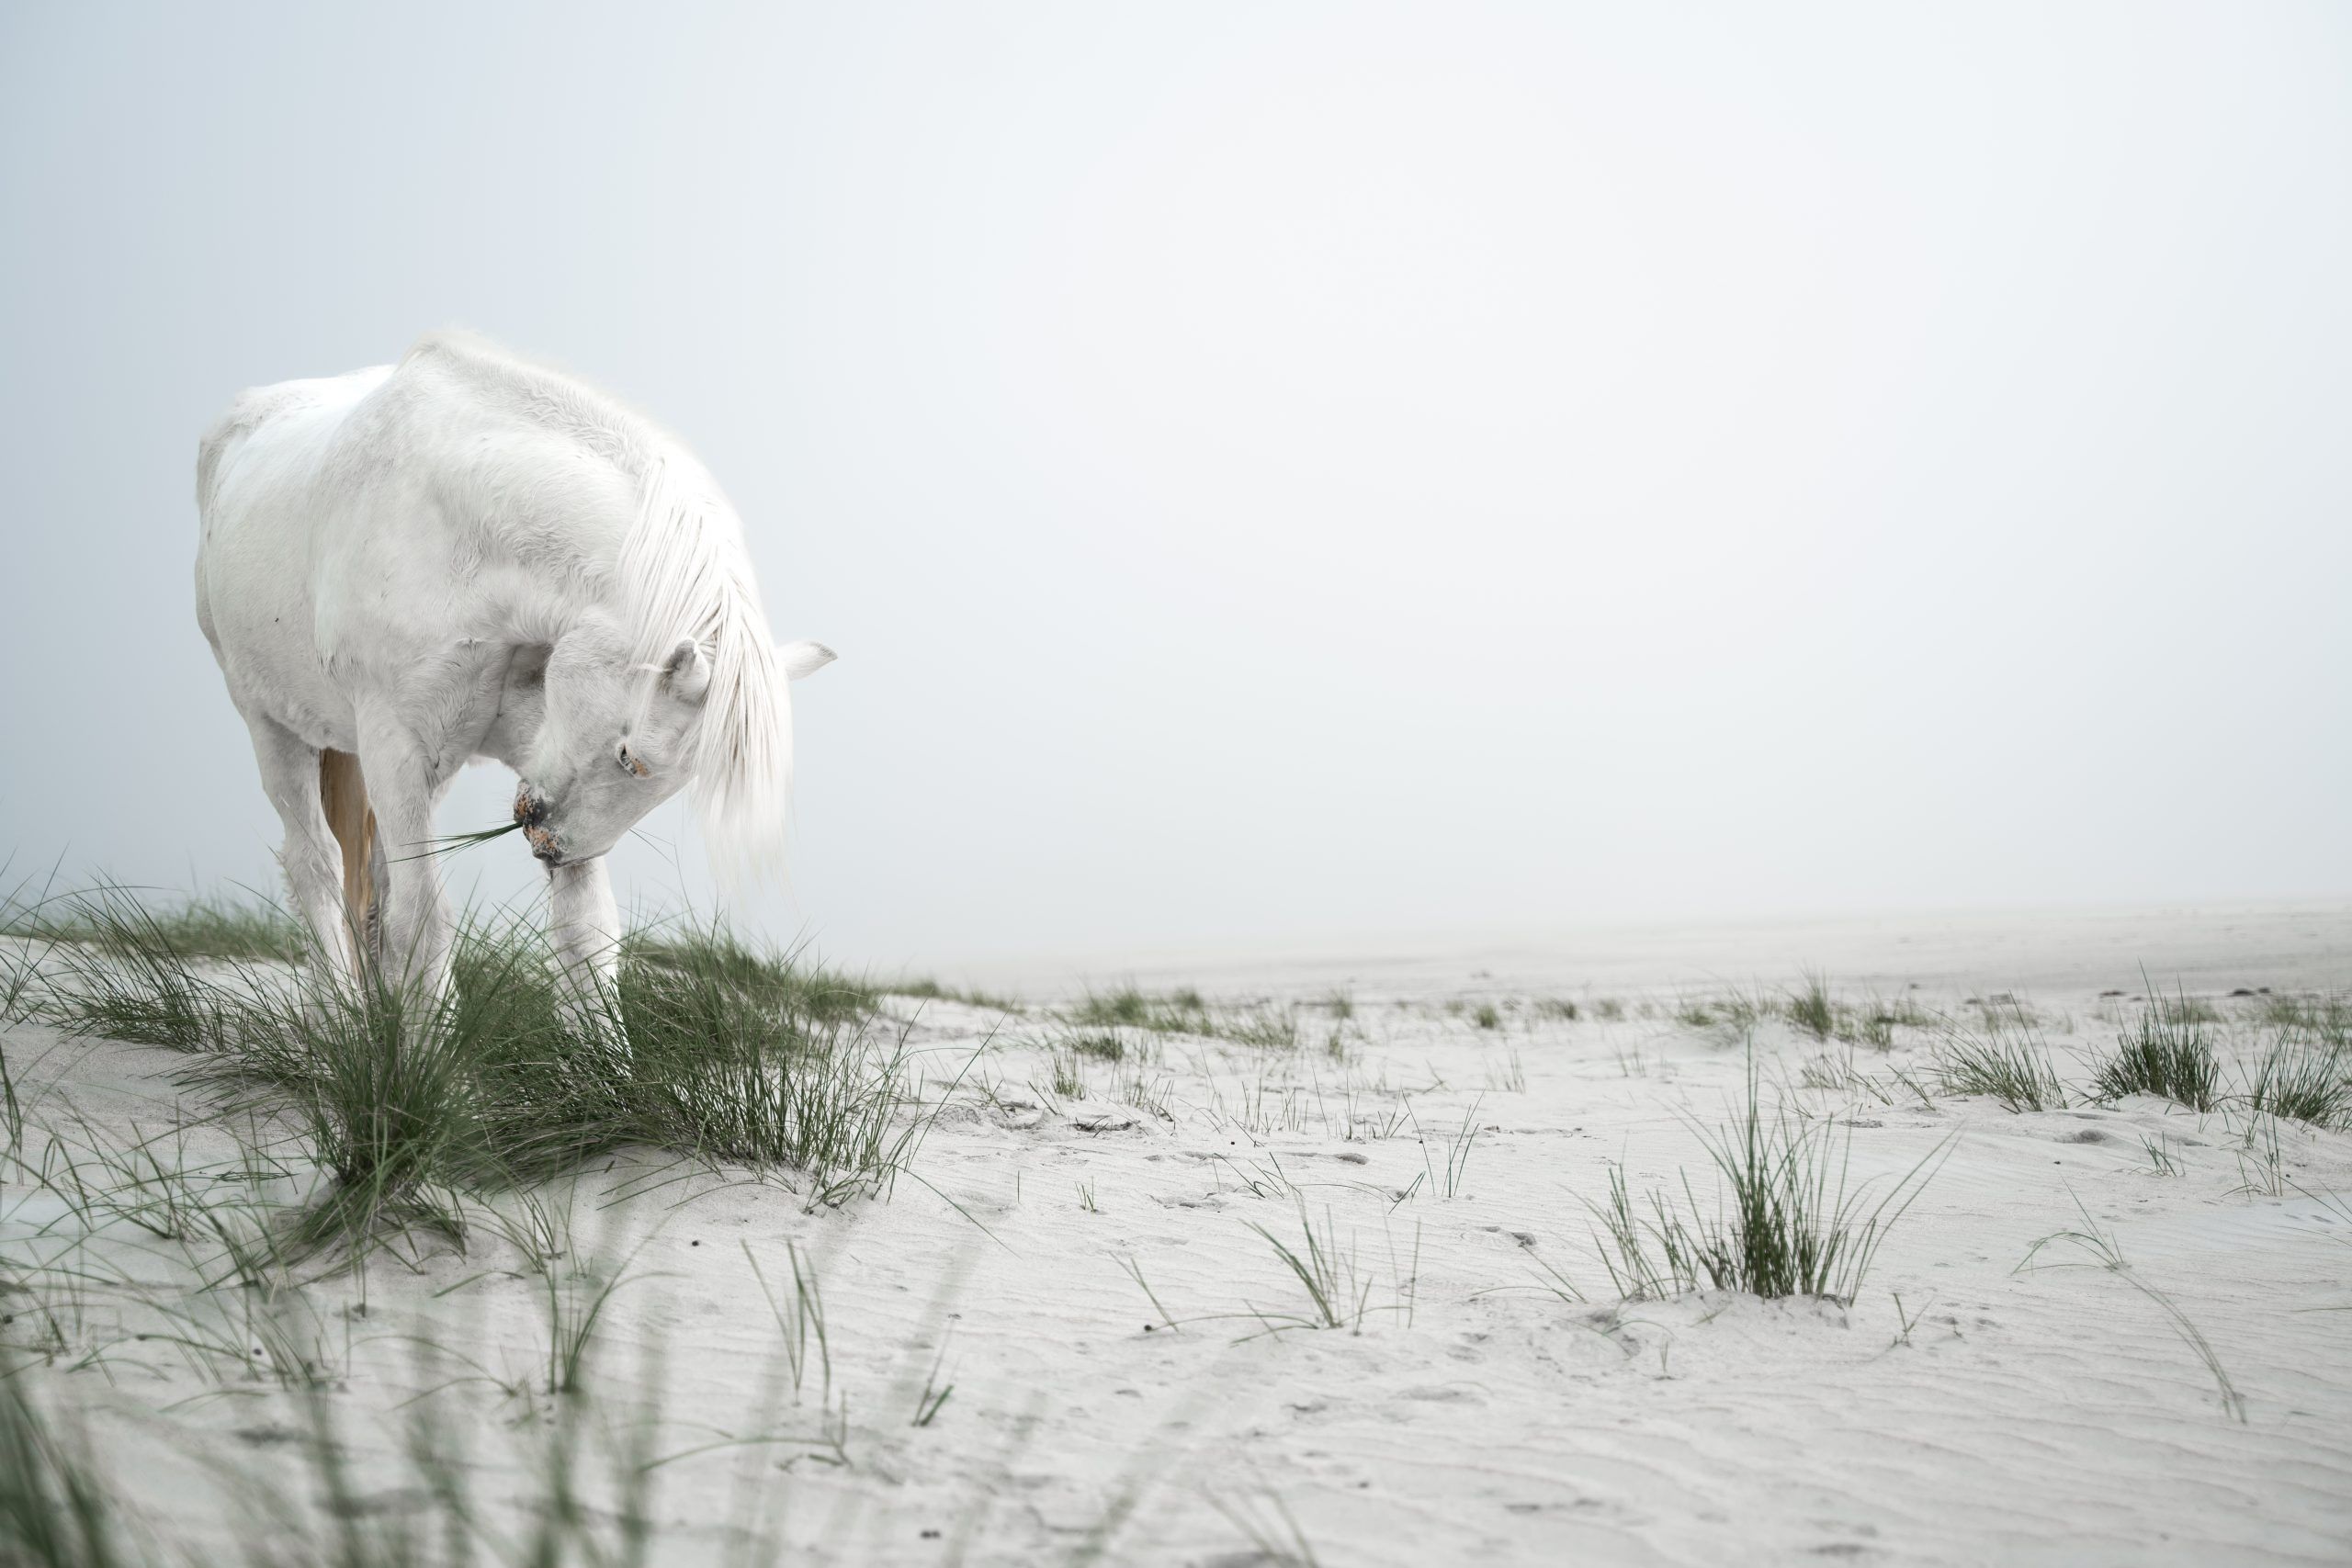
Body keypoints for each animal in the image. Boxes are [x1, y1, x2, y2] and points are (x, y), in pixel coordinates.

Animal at [193, 330, 833, 1014]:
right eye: (631, 758)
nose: (551, 845)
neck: (462, 533)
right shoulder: (397, 745)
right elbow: (426, 918)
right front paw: (431, 1046)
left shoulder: (529, 742)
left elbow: (587, 932)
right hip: (271, 724)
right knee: (315, 862)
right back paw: (340, 1015)